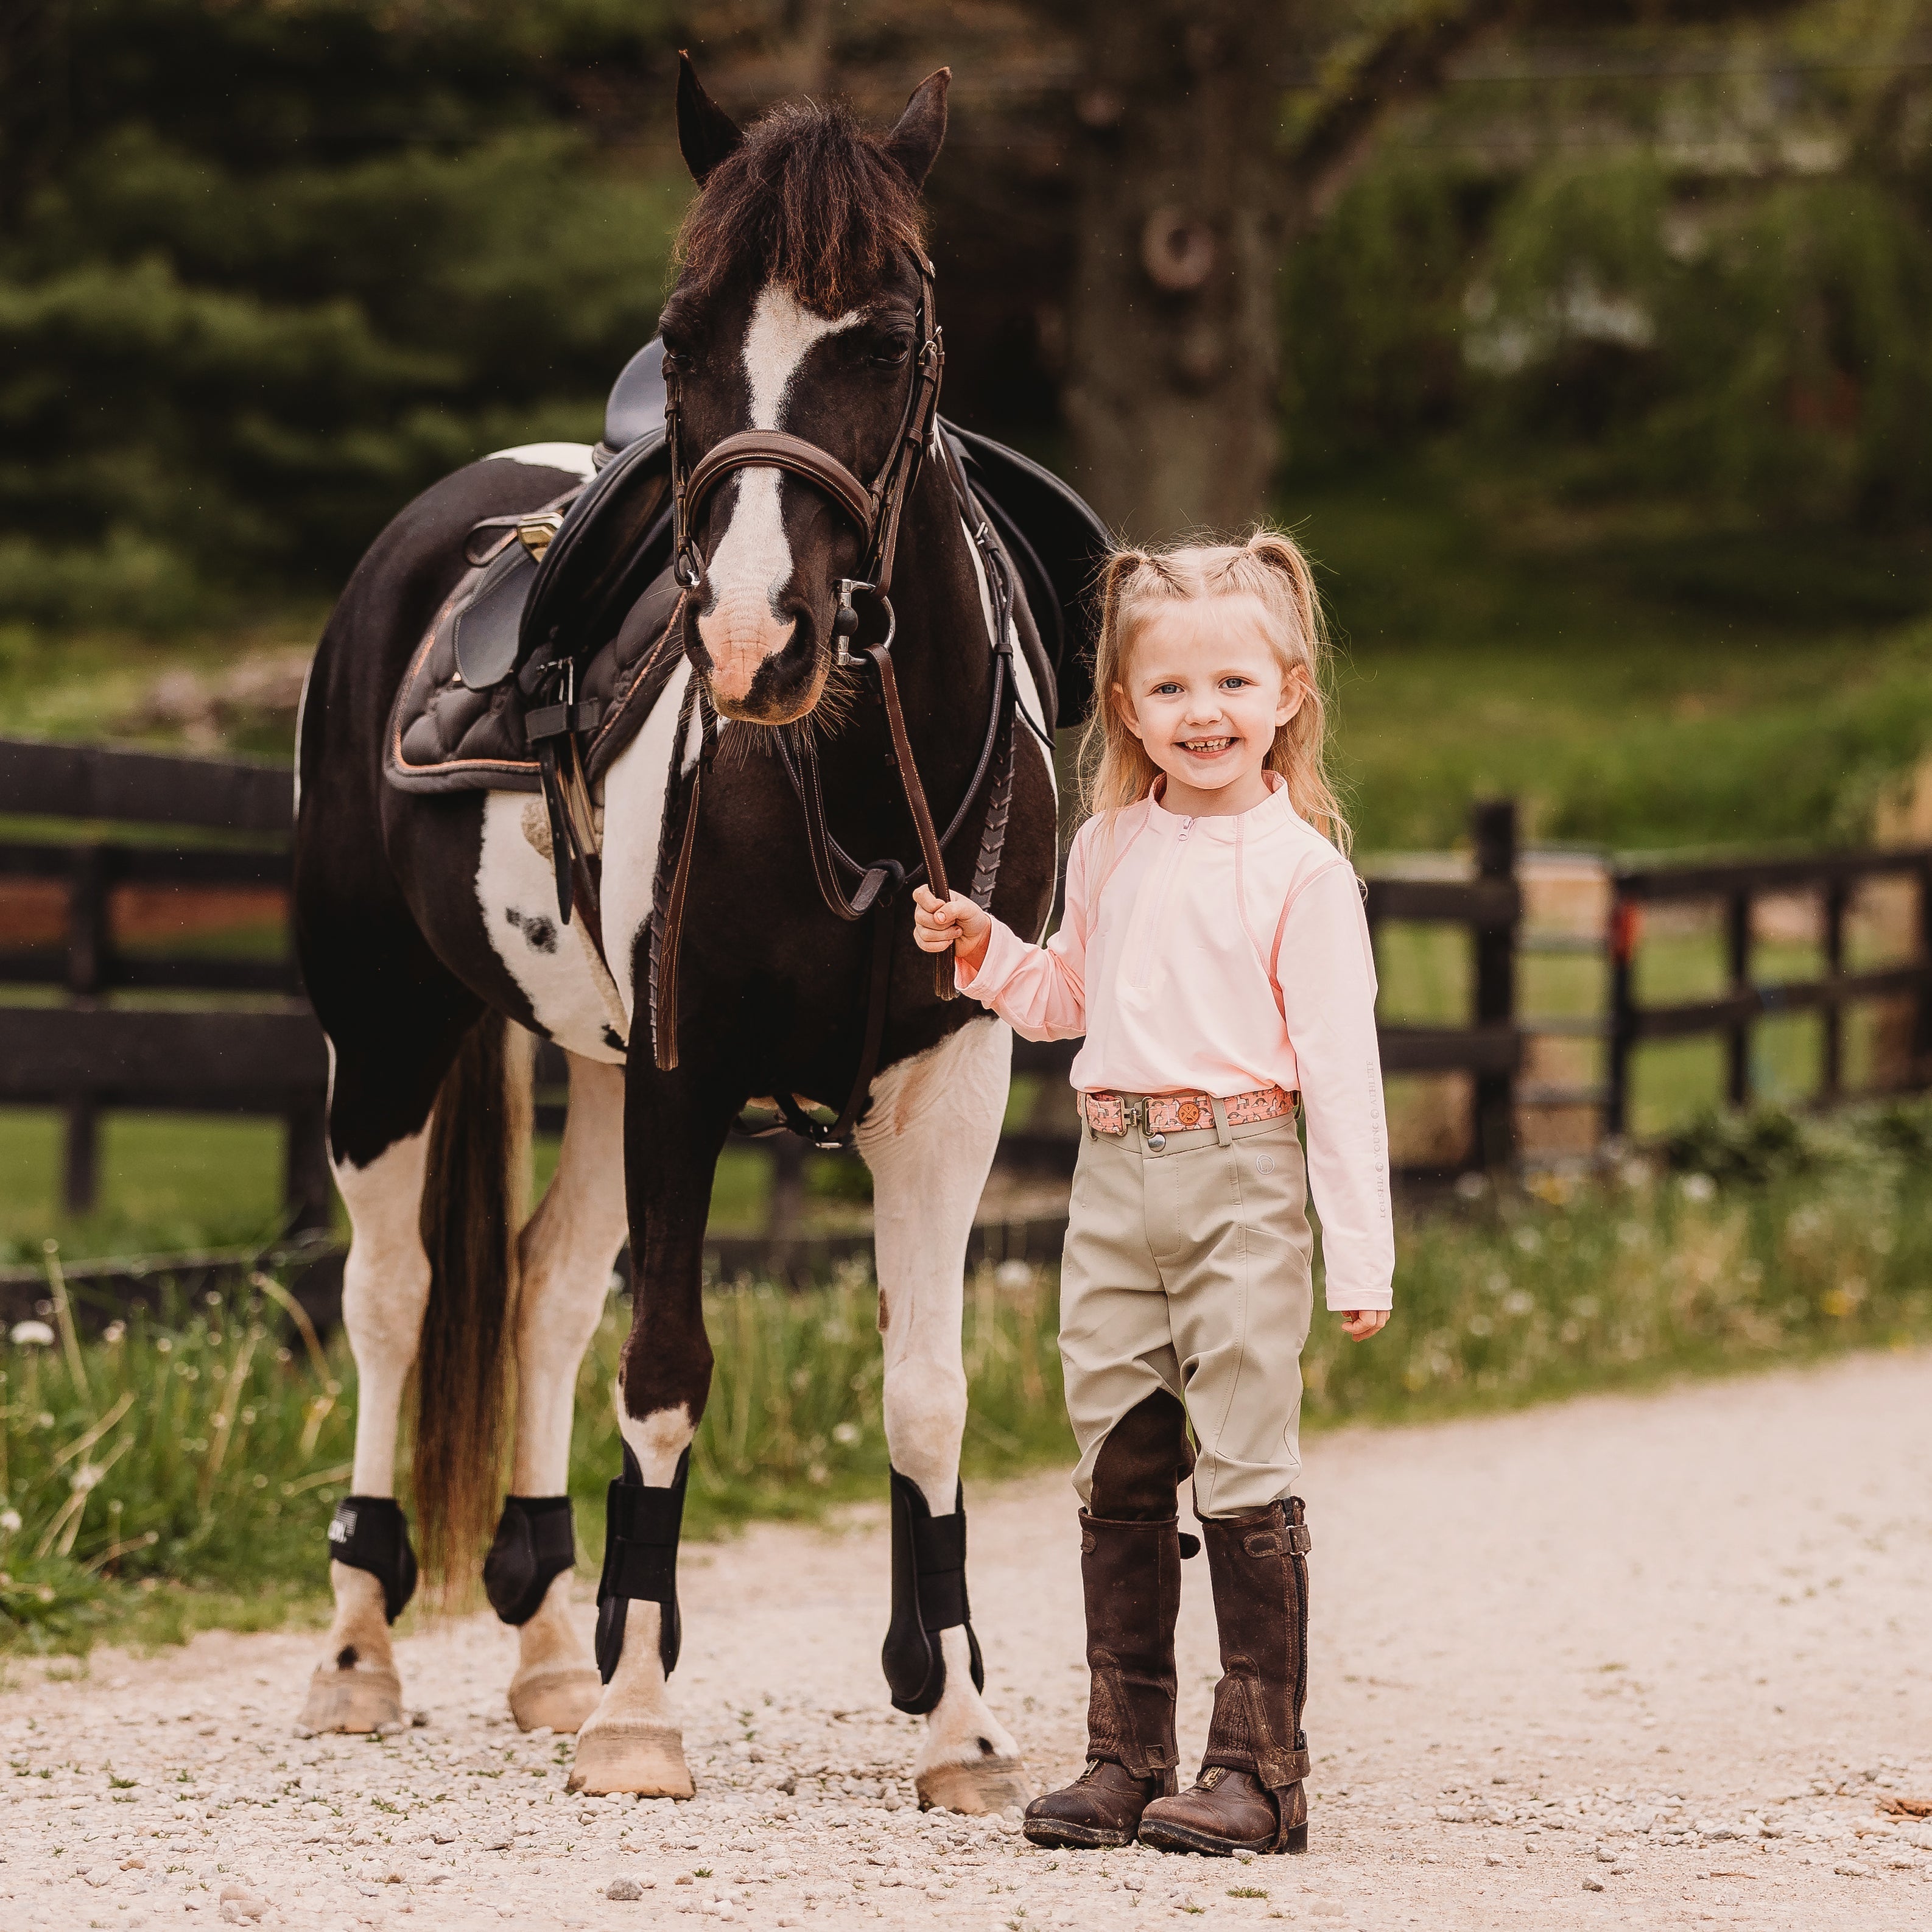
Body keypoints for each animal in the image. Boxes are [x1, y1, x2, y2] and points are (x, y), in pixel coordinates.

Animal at [289, 64, 1058, 1808]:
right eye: (685, 331)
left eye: (890, 336)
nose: (756, 641)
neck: (851, 793)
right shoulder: (690, 1074)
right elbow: (663, 1373)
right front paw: (644, 1715)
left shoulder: (948, 1086)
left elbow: (926, 1392)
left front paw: (961, 1726)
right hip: (385, 1026)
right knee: (397, 1292)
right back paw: (363, 1648)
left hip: (590, 1056)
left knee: (542, 1284)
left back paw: (546, 1645)